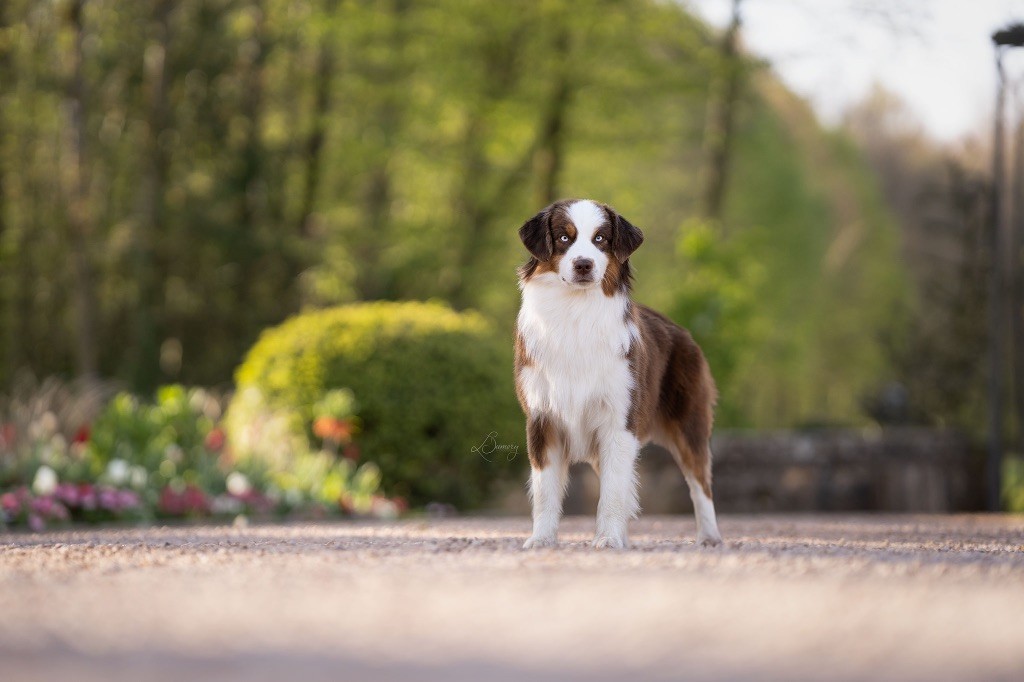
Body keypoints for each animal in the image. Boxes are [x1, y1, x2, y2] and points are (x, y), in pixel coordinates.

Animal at [512, 196, 720, 548]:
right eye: (564, 238)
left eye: (601, 239)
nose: (584, 264)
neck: (575, 313)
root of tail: (683, 331)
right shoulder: (542, 418)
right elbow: (545, 491)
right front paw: (542, 539)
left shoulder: (619, 420)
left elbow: (611, 491)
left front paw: (608, 540)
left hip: (688, 423)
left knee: (699, 482)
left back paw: (710, 537)